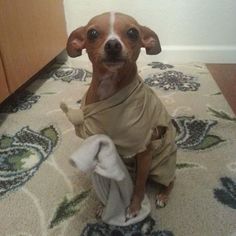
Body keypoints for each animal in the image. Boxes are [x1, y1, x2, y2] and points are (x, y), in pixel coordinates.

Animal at [65, 12, 176, 218]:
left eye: (133, 32)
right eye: (92, 33)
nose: (113, 45)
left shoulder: (145, 153)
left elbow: (139, 185)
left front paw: (134, 207)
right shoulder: (103, 151)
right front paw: (104, 205)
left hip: (161, 165)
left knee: (170, 178)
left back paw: (163, 195)